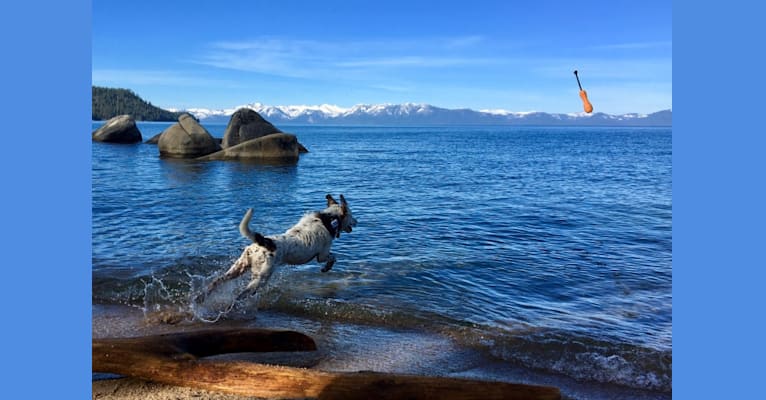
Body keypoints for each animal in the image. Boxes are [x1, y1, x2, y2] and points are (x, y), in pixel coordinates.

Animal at [195, 195, 356, 304]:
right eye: (352, 214)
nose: (357, 221)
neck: (328, 218)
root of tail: (263, 242)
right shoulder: (322, 254)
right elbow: (332, 257)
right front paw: (326, 268)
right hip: (261, 277)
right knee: (240, 295)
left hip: (238, 268)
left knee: (216, 282)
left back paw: (199, 299)